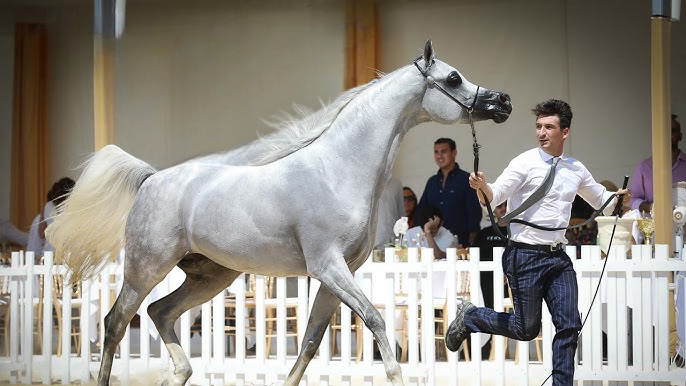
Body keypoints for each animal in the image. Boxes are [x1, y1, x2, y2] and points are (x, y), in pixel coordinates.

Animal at [47, 40, 510, 384]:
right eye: (453, 77)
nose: (502, 101)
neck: (337, 169)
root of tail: (151, 179)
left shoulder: (336, 275)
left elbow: (309, 342)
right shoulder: (328, 267)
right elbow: (377, 323)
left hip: (210, 276)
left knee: (159, 313)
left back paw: (179, 373)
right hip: (145, 268)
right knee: (115, 322)